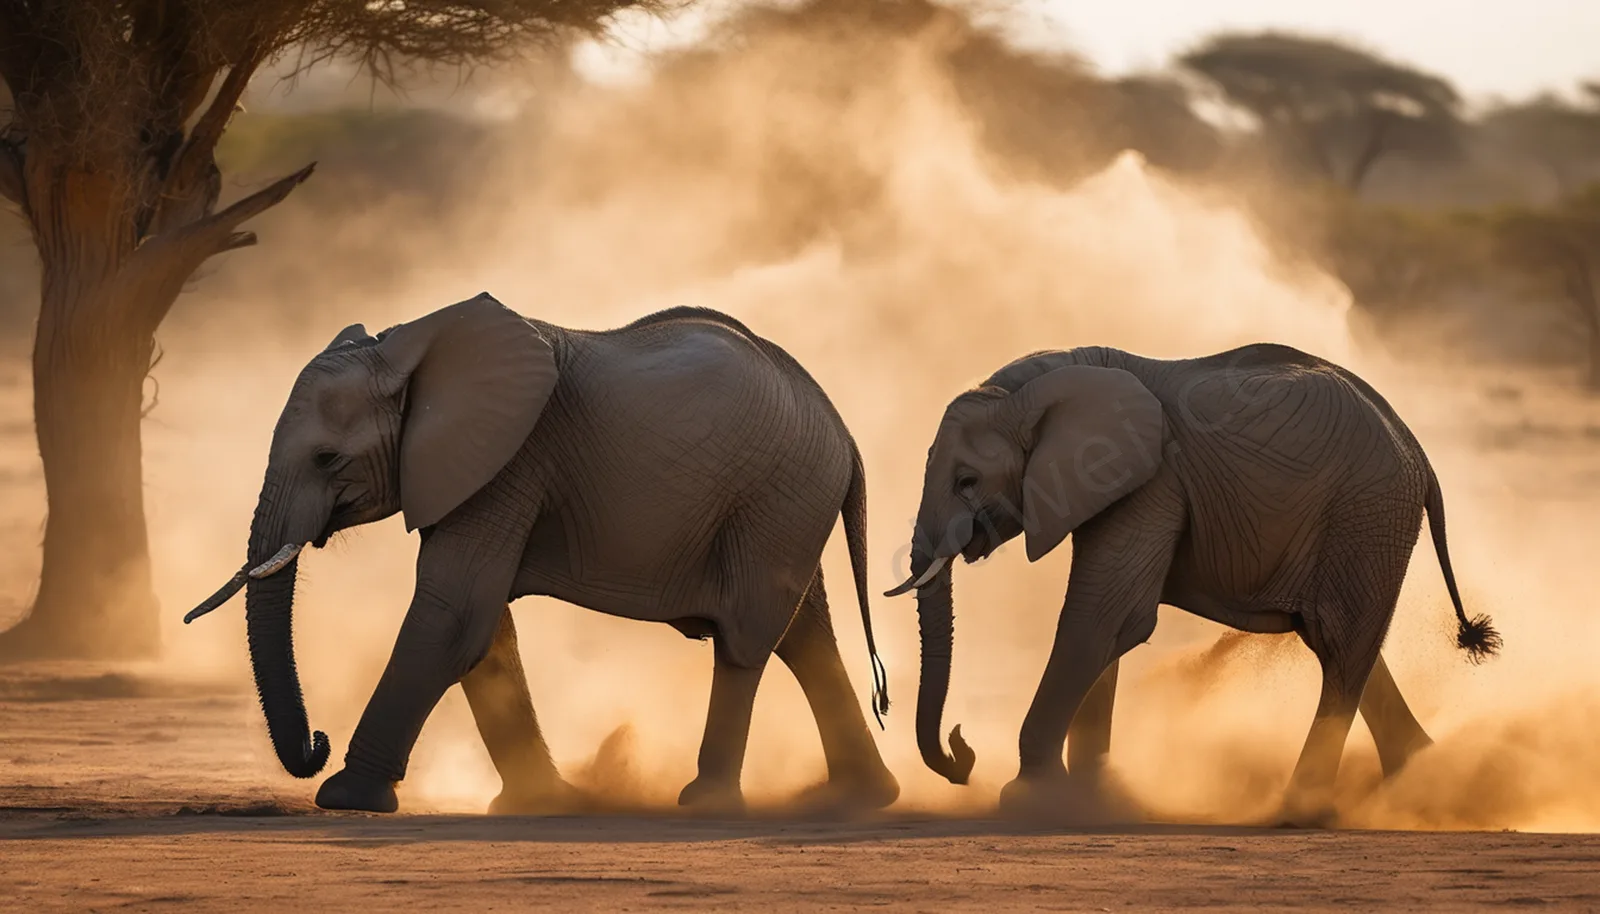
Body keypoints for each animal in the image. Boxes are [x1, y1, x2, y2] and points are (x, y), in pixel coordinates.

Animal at [188, 293, 899, 815]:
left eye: (327, 458)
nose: (317, 739)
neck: (411, 346)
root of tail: (844, 431)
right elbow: (484, 629)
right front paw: (543, 802)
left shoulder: (509, 463)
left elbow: (454, 614)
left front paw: (346, 798)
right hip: (786, 505)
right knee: (805, 635)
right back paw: (858, 797)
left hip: (776, 499)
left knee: (747, 641)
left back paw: (709, 802)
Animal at [884, 343, 1500, 824]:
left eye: (967, 481)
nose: (962, 752)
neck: (1045, 379)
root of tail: (1419, 453)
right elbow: (1107, 625)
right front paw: (1090, 796)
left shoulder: (1154, 483)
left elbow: (1102, 617)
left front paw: (1031, 797)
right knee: (1342, 645)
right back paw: (1422, 780)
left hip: (1366, 514)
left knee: (1343, 650)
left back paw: (1299, 811)